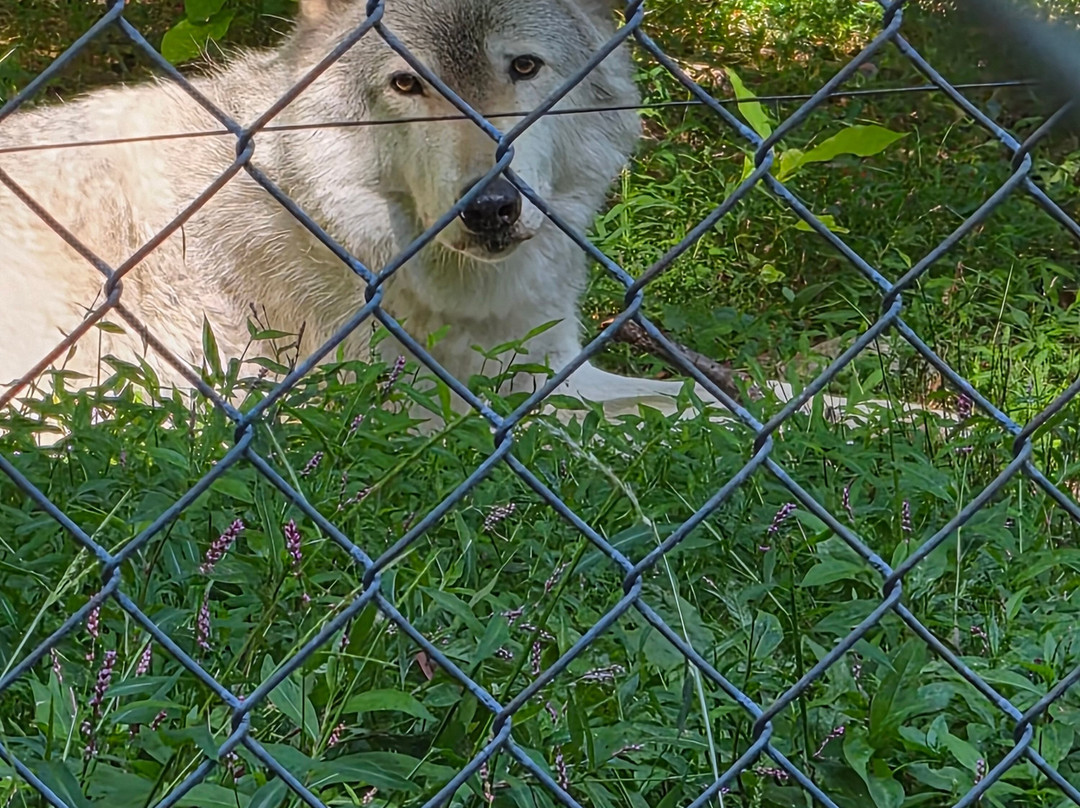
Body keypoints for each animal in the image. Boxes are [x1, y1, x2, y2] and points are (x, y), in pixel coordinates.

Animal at [0, 0, 716, 425]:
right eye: (405, 83)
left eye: (523, 67)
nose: (490, 208)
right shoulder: (391, 406)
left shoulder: (557, 364)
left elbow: (698, 400)